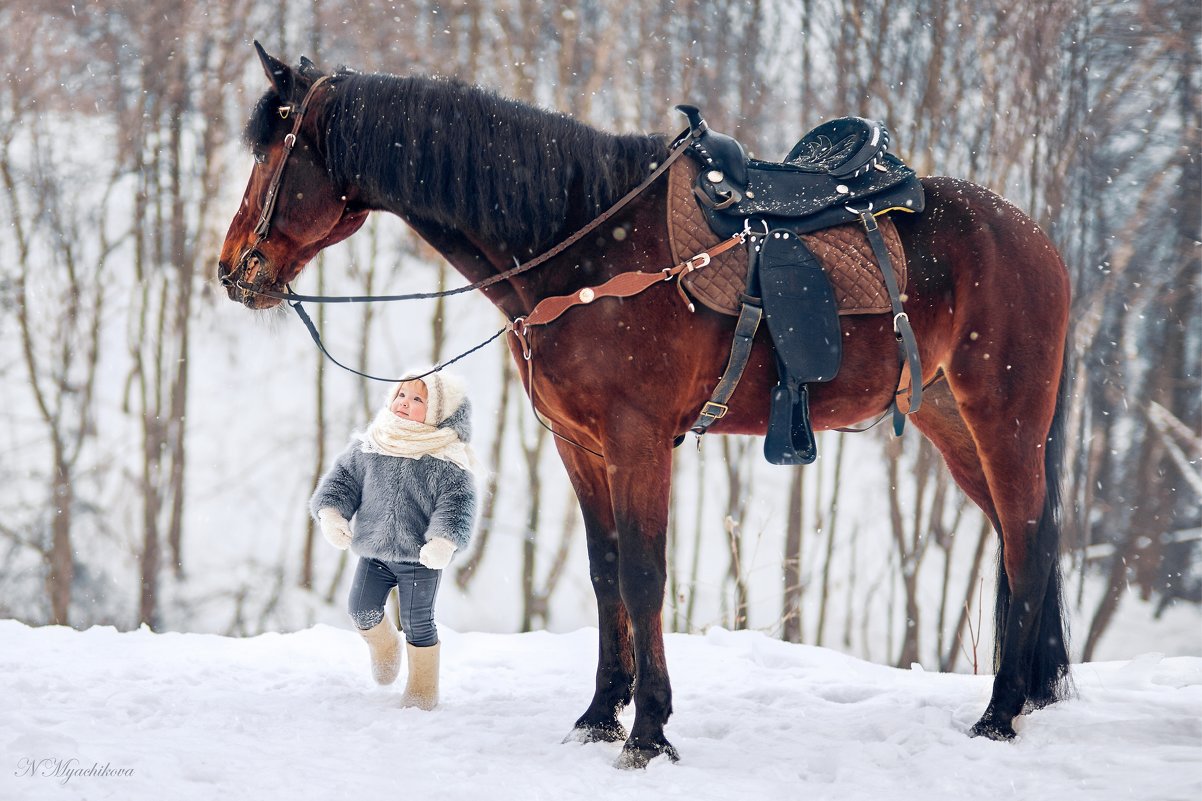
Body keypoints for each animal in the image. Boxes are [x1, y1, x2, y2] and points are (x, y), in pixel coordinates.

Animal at [221, 45, 1076, 769]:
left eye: (270, 152)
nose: (234, 269)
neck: (583, 249)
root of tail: (1034, 235)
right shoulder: (580, 445)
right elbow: (606, 575)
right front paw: (602, 712)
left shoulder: (636, 443)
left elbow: (642, 574)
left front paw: (651, 729)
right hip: (951, 420)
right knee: (1020, 539)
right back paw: (1030, 694)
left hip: (1003, 421)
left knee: (1028, 543)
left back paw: (1000, 713)